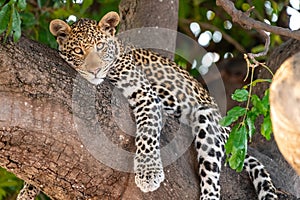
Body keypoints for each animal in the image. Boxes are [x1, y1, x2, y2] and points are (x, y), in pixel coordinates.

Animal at [17, 11, 278, 199]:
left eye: (100, 46)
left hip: (209, 121)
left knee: (213, 181)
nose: (95, 71)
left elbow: (147, 133)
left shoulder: (145, 92)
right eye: (79, 51)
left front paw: (148, 173)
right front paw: (28, 190)